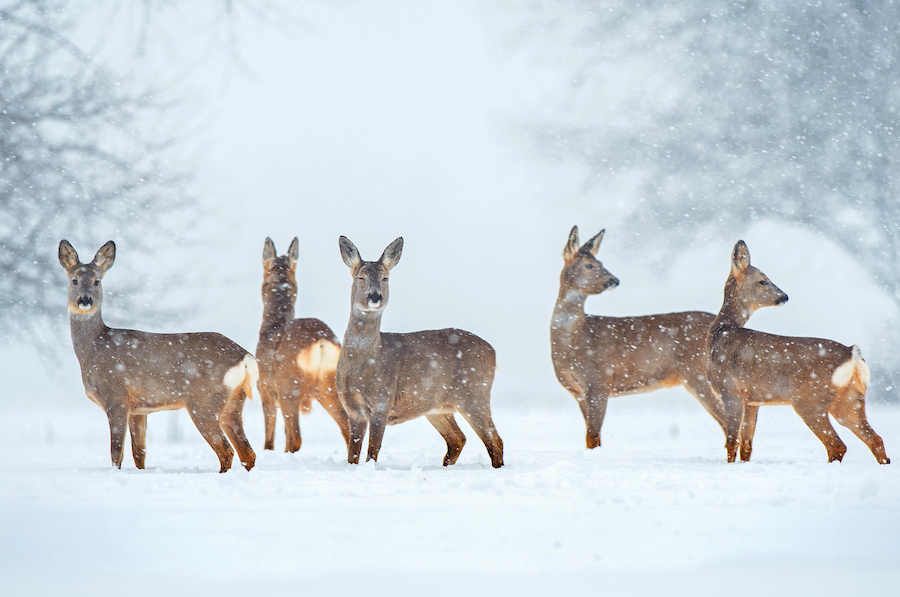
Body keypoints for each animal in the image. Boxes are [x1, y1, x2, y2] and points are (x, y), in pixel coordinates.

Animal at [58, 240, 258, 472]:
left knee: (227, 451)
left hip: (203, 401)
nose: (85, 300)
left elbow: (116, 453)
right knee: (248, 453)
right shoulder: (138, 409)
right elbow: (139, 453)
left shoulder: (116, 398)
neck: (94, 347)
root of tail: (245, 358)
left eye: (97, 281)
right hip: (233, 402)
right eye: (74, 280)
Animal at [256, 237, 352, 452]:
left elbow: (269, 440)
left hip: (289, 387)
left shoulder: (265, 390)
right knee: (348, 427)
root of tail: (321, 340)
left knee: (295, 438)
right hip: (330, 385)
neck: (272, 326)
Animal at [336, 235, 506, 468]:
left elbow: (373, 452)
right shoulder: (352, 409)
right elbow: (352, 455)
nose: (374, 296)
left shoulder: (382, 401)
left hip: (475, 393)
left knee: (494, 440)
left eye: (385, 278)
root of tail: (493, 350)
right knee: (458, 439)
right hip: (438, 407)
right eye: (360, 277)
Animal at [548, 226, 732, 450]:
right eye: (589, 265)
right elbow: (593, 438)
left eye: (601, 263)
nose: (614, 280)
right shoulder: (579, 393)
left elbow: (592, 437)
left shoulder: (599, 381)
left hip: (699, 375)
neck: (574, 341)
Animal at [712, 240, 892, 464]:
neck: (720, 332)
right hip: (850, 398)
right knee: (875, 439)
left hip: (809, 400)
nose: (784, 296)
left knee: (837, 445)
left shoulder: (730, 390)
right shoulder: (753, 400)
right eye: (763, 281)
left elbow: (732, 441)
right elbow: (747, 445)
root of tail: (852, 353)